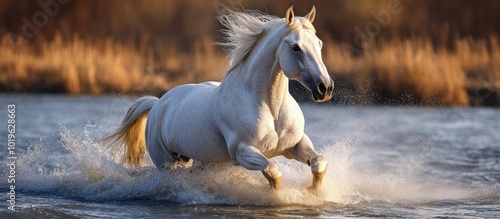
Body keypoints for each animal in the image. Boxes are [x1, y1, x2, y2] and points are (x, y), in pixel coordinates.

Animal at [102, 6, 334, 190]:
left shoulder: (296, 144)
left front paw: (313, 192)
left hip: (202, 161)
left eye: (320, 44)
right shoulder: (242, 152)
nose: (325, 87)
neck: (270, 108)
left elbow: (319, 163)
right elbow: (273, 171)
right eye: (295, 47)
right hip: (167, 162)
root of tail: (159, 103)